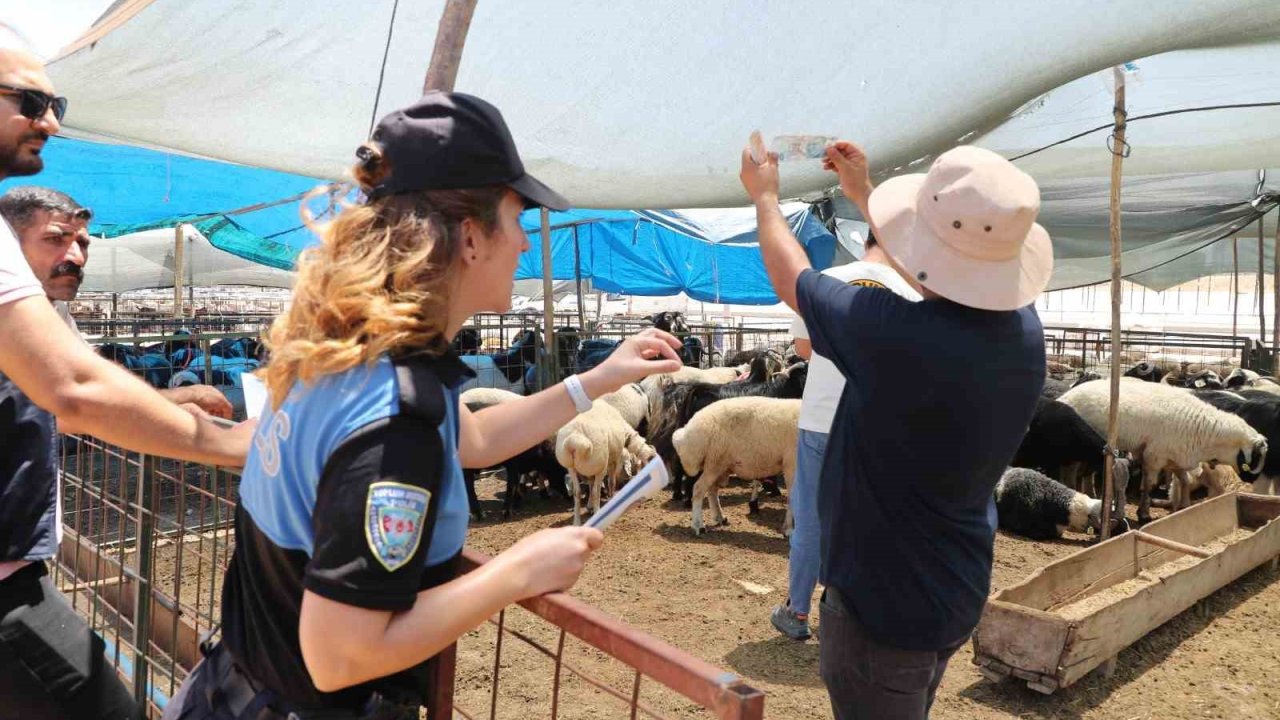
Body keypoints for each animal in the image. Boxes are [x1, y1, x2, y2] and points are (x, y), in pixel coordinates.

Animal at [670, 397, 798, 532]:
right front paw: (789, 529)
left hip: (721, 466)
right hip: (714, 462)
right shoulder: (791, 464)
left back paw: (719, 517)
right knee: (699, 488)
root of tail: (686, 432)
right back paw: (698, 526)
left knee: (712, 489)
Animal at [1054, 376, 1264, 520]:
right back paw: (1073, 490)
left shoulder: (1175, 458)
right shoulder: (1154, 457)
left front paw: (1185, 506)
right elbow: (1149, 484)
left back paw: (1090, 493)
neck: (1206, 433)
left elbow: (1184, 481)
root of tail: (1065, 396)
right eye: (1255, 457)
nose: (1252, 482)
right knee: (1071, 470)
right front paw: (1144, 513)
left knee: (1084, 473)